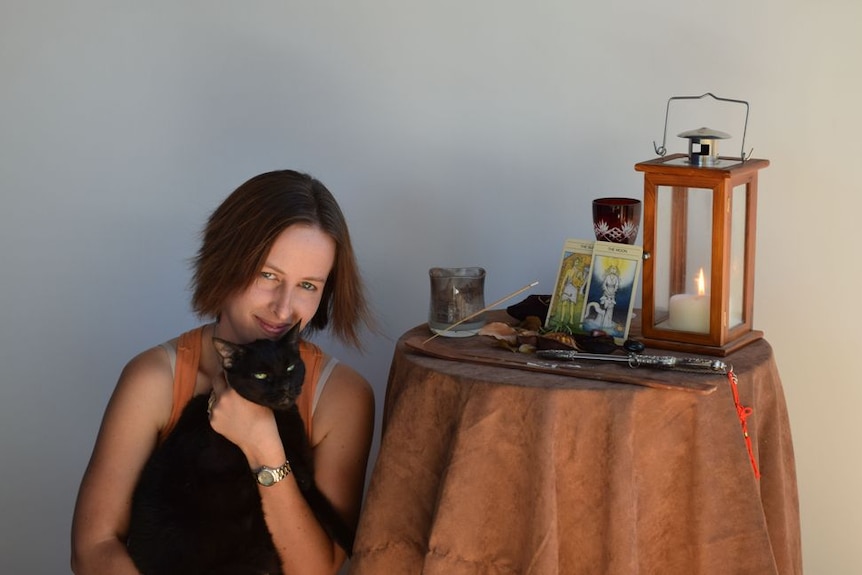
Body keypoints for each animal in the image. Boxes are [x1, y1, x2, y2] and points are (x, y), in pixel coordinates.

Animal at [125, 326, 354, 572]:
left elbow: (327, 511)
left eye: (290, 367)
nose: (285, 387)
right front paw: (298, 469)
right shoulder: (213, 454)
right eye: (261, 375)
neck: (279, 418)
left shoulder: (310, 490)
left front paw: (352, 543)